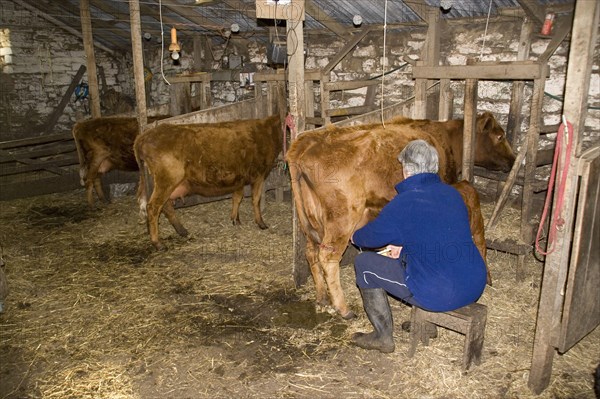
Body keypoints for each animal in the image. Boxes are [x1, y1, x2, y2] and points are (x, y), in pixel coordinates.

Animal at [286, 112, 516, 318]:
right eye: (500, 136)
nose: (513, 160)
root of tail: (308, 142)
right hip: (341, 219)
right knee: (327, 257)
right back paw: (343, 309)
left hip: (310, 220)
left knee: (311, 253)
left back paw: (322, 299)